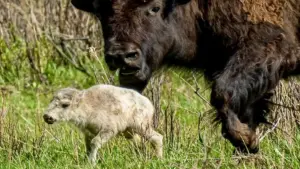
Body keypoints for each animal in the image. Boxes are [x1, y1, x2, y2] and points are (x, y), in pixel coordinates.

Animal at [71, 0, 300, 153]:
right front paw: (248, 144)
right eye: (102, 11)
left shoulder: (268, 46)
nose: (122, 55)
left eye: (155, 7)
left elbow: (222, 92)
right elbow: (244, 108)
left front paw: (246, 140)